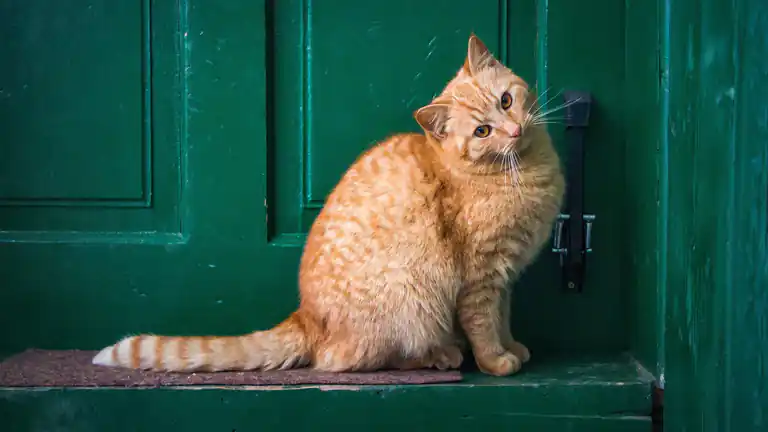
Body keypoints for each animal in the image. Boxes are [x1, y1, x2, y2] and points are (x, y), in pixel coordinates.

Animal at [94, 33, 564, 376]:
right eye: (483, 131)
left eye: (507, 101)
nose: (514, 129)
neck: (523, 170)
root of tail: (305, 315)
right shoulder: (481, 276)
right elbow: (484, 325)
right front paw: (496, 361)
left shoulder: (504, 277)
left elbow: (503, 318)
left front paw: (512, 345)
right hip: (413, 302)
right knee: (348, 361)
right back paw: (439, 355)